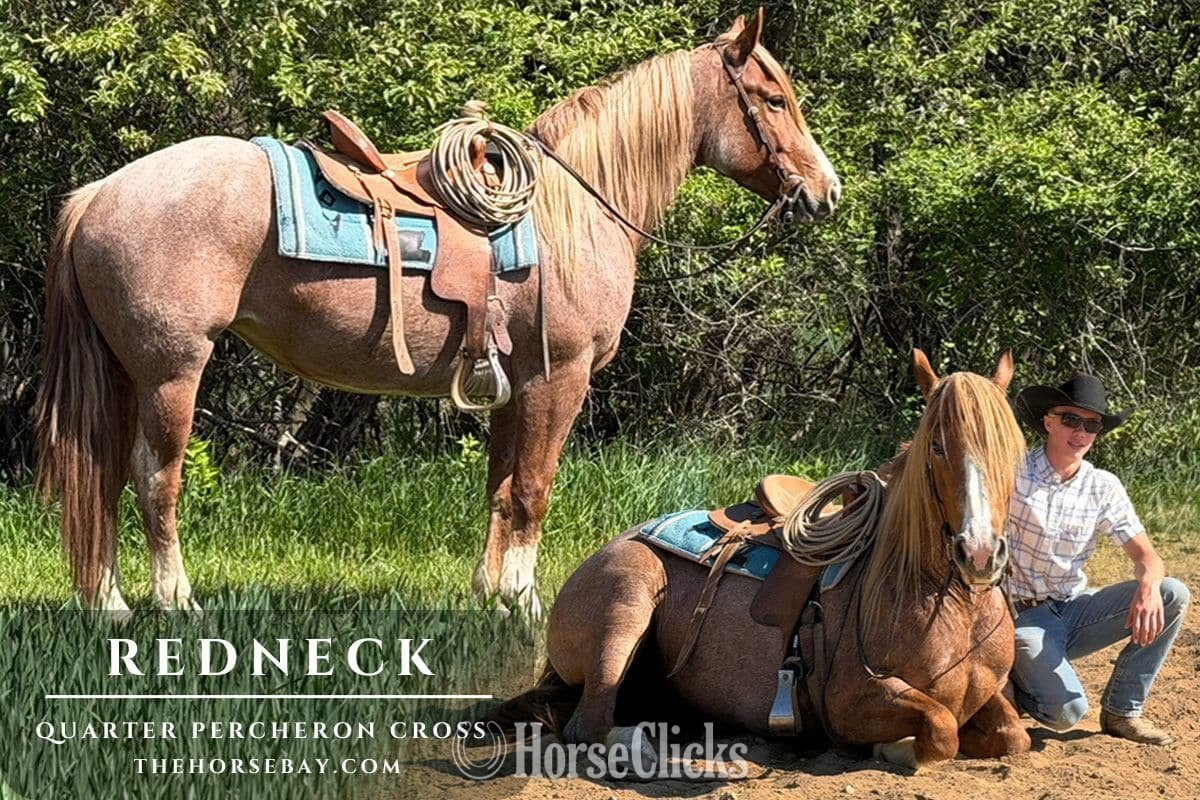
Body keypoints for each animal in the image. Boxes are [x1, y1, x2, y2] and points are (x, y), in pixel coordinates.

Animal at [33, 9, 840, 618]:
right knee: (154, 478)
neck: (577, 209)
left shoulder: (515, 383)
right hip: (171, 371)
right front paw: (525, 604)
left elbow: (502, 489)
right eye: (772, 100)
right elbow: (534, 491)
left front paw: (491, 596)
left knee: (103, 476)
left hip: (126, 373)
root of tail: (100, 193)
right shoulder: (559, 379)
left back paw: (108, 603)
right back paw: (175, 602)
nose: (825, 191)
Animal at [494, 349, 1032, 769]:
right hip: (625, 604)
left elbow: (1014, 735)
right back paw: (644, 742)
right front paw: (892, 748)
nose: (979, 553)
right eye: (937, 447)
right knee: (589, 725)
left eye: (1014, 450)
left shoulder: (990, 696)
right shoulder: (849, 701)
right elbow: (941, 730)